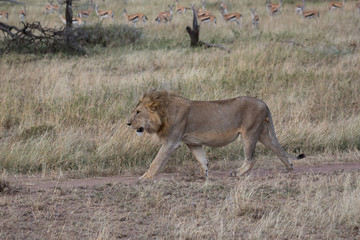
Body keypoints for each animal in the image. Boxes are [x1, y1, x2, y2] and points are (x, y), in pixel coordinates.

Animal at [126, 89, 304, 178]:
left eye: (138, 112)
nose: (128, 123)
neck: (164, 113)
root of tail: (263, 103)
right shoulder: (193, 142)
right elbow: (202, 159)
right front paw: (204, 174)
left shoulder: (171, 142)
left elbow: (156, 161)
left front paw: (145, 177)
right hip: (261, 133)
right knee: (277, 149)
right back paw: (289, 168)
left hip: (249, 133)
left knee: (251, 159)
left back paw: (237, 173)